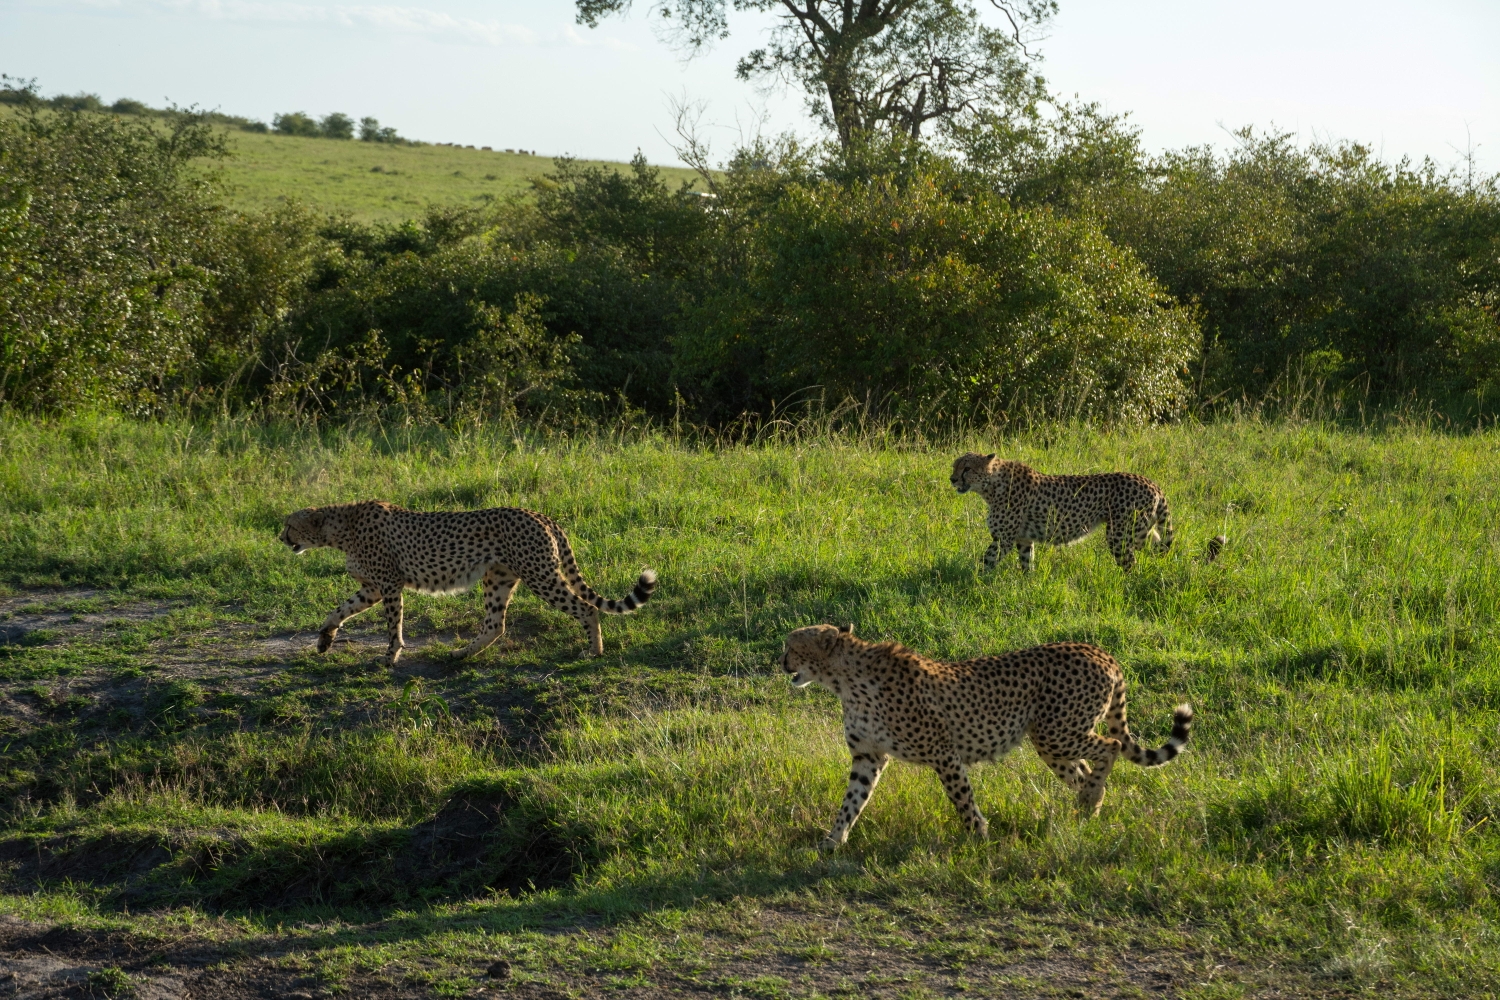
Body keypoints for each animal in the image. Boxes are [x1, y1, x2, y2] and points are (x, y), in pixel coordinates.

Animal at [282, 500, 657, 665]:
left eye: (289, 525)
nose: (281, 538)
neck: (339, 528)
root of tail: (538, 513)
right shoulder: (372, 588)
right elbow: (339, 610)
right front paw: (324, 640)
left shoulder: (388, 585)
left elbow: (393, 625)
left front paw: (391, 656)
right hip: (498, 579)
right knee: (495, 624)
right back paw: (461, 653)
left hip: (541, 575)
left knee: (586, 608)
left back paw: (594, 650)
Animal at [780, 626, 1188, 845]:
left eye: (792, 646)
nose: (780, 662)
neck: (846, 679)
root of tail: (1097, 650)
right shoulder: (868, 756)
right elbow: (852, 801)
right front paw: (833, 841)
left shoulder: (943, 753)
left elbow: (961, 798)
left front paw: (979, 836)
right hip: (1053, 742)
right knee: (1085, 768)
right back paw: (1088, 808)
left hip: (1056, 732)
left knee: (1112, 745)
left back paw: (1090, 800)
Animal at [948, 452, 1170, 569]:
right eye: (955, 466)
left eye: (967, 468)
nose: (952, 479)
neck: (991, 485)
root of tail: (1151, 483)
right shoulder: (1023, 538)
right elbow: (1026, 562)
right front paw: (1028, 586)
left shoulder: (1003, 539)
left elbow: (987, 561)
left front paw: (975, 582)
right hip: (1138, 531)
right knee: (1158, 543)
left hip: (1120, 534)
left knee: (1131, 561)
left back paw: (1129, 584)